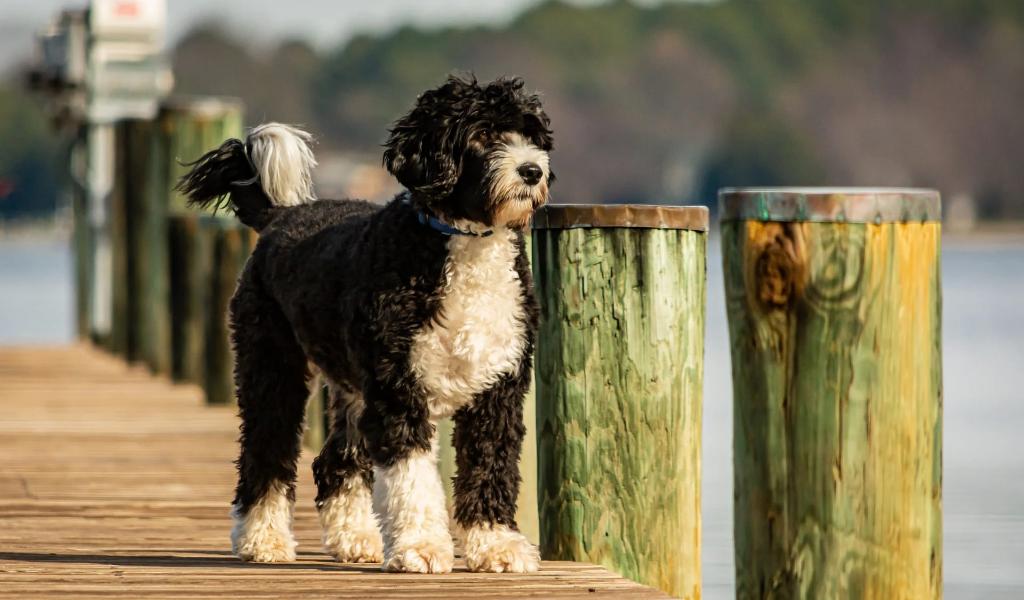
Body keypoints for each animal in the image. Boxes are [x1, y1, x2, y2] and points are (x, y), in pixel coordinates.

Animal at [180, 77, 557, 573]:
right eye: (481, 135)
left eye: (531, 135)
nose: (532, 170)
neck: (459, 243)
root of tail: (281, 216)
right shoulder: (399, 390)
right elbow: (412, 478)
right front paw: (421, 547)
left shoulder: (498, 388)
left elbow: (490, 464)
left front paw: (495, 545)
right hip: (272, 367)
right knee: (266, 451)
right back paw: (262, 539)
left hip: (353, 391)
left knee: (333, 462)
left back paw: (354, 538)